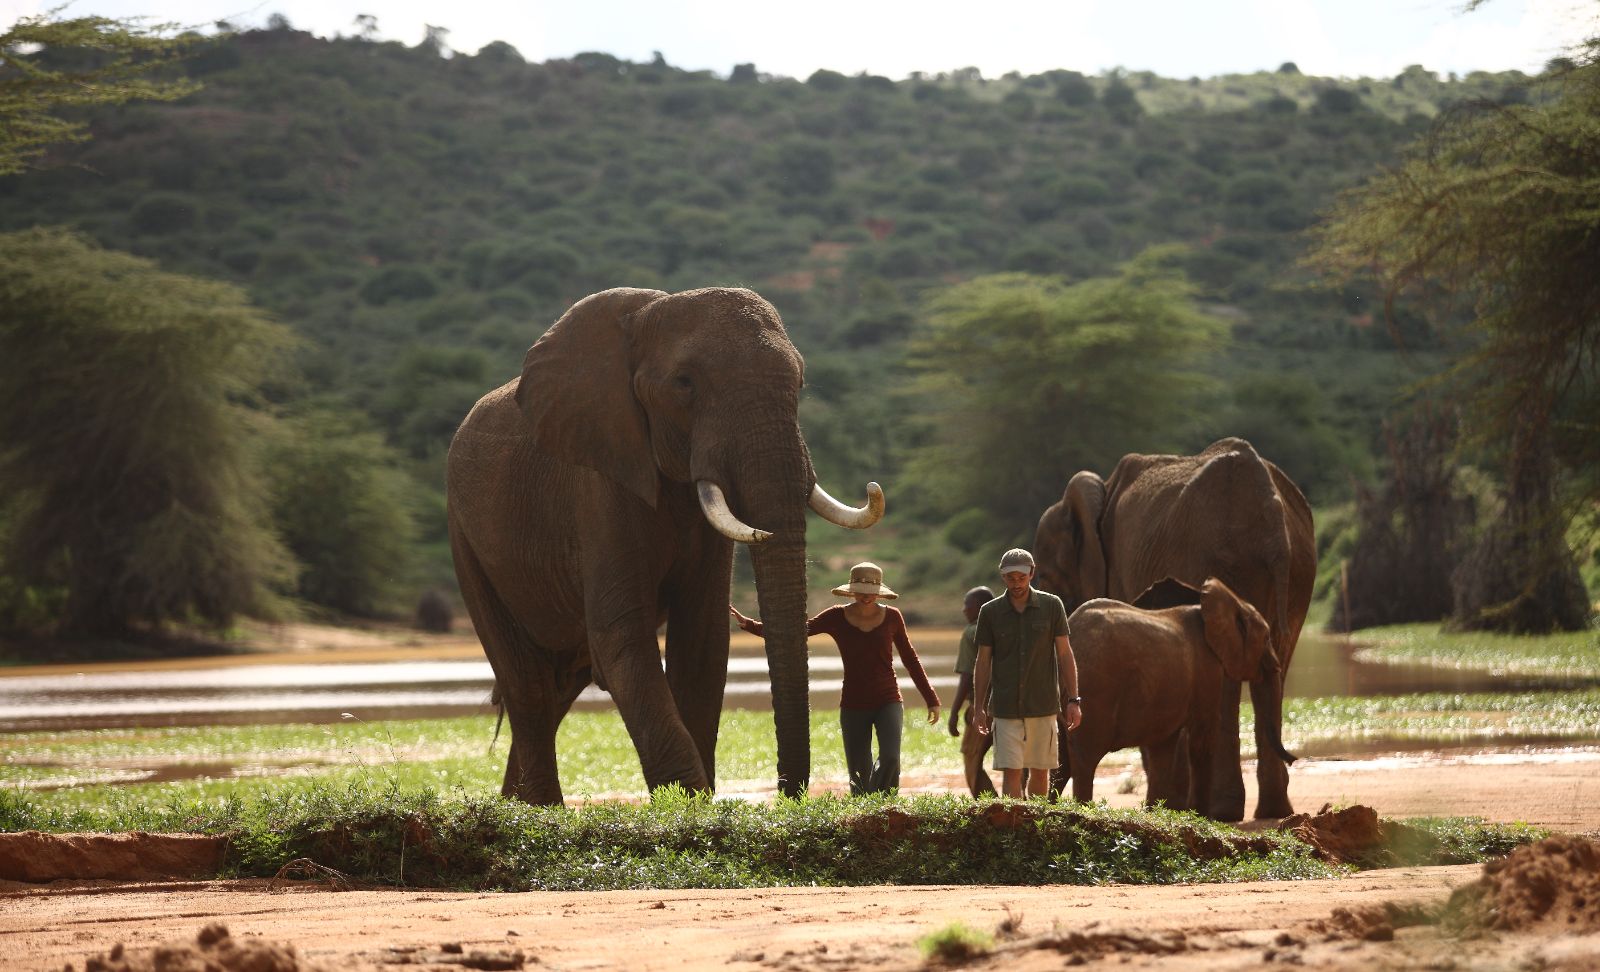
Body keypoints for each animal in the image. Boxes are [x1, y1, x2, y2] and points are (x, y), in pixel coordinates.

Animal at [446, 287, 884, 805]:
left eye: (799, 383)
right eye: (683, 384)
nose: (786, 793)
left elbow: (703, 640)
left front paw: (693, 803)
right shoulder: (600, 481)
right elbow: (622, 640)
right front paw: (688, 803)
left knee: (557, 688)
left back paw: (520, 805)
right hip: (465, 537)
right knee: (528, 686)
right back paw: (540, 809)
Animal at [1062, 577, 1291, 818]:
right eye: (1266, 638)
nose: (1293, 759)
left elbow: (1163, 748)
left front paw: (1156, 813)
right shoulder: (1207, 668)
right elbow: (1202, 739)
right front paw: (1201, 818)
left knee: (1063, 757)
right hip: (1095, 690)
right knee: (1085, 758)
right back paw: (1081, 809)